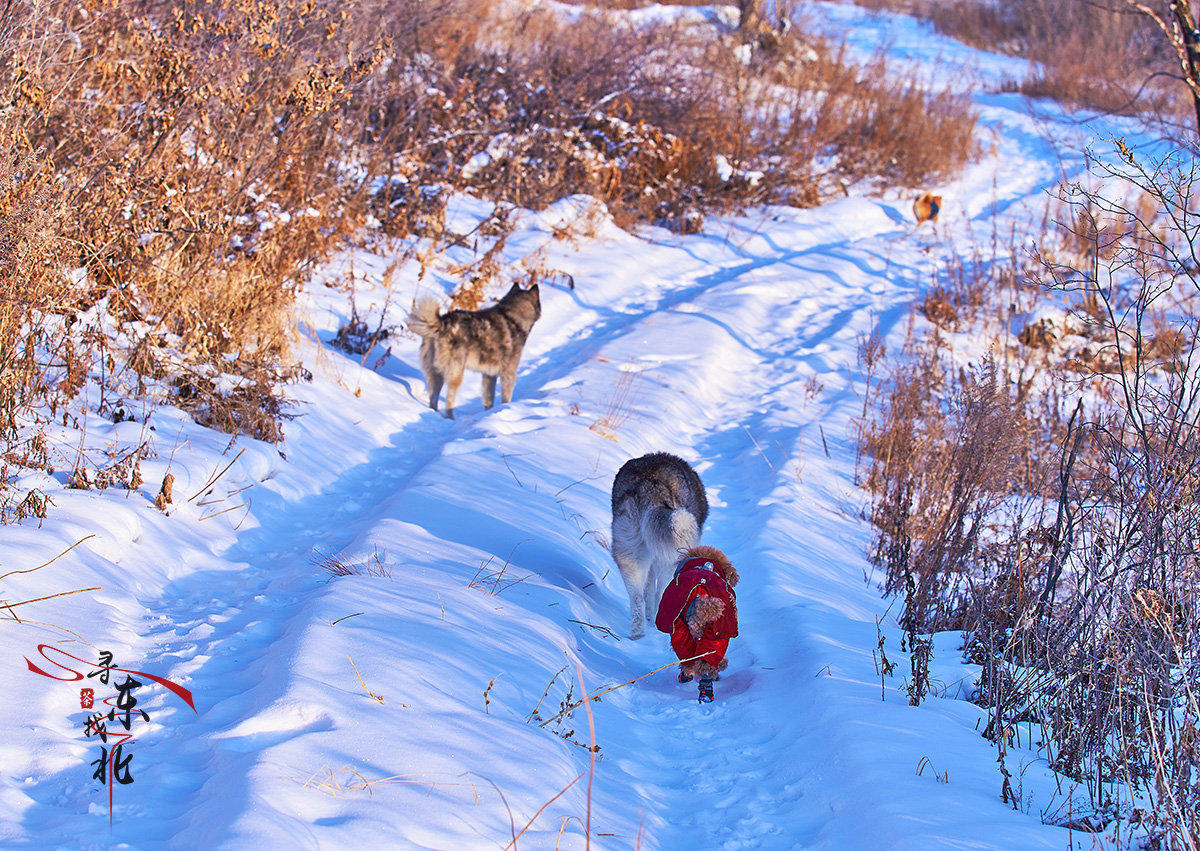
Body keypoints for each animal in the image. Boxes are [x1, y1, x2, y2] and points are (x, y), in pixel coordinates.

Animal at [412, 282, 544, 417]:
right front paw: (505, 408)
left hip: (436, 375)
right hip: (456, 375)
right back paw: (451, 418)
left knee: (433, 399)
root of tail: (443, 324)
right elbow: (506, 398)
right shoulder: (509, 374)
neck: (512, 317)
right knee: (449, 400)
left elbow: (488, 399)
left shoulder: (489, 375)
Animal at [614, 451, 705, 638]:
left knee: (637, 597)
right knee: (661, 592)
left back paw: (638, 632)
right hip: (670, 558)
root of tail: (649, 484)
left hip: (629, 552)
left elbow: (647, 588)